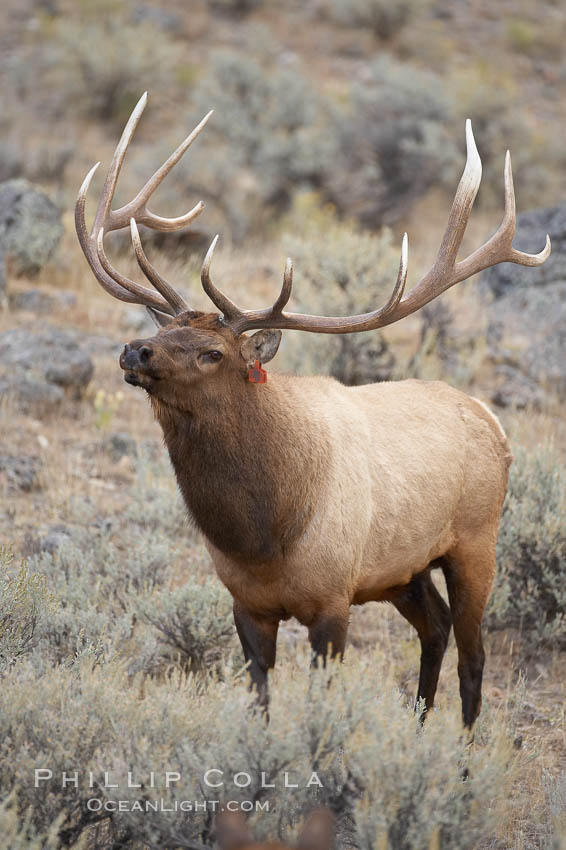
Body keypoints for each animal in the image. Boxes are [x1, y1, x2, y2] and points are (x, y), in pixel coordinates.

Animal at [75, 94, 552, 728]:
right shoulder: (247, 604)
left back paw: (462, 747)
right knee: (436, 627)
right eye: (165, 329)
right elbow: (260, 699)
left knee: (473, 655)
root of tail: (491, 418)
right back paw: (418, 726)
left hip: (477, 540)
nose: (134, 350)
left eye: (212, 352)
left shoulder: (332, 599)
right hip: (404, 569)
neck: (262, 533)